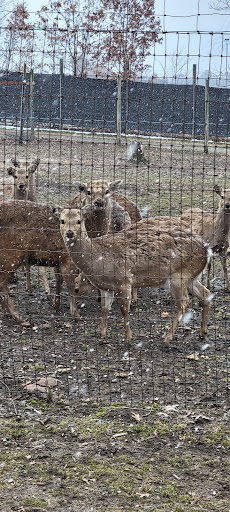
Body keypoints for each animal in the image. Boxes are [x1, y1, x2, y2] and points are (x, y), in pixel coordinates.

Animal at [59, 206, 212, 346]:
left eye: (79, 221)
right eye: (62, 220)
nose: (69, 233)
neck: (98, 260)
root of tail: (207, 251)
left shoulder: (124, 280)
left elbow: (124, 309)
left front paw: (128, 338)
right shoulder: (105, 287)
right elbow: (104, 309)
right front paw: (102, 336)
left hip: (179, 277)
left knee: (184, 302)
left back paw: (167, 338)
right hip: (191, 276)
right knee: (206, 294)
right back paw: (202, 332)